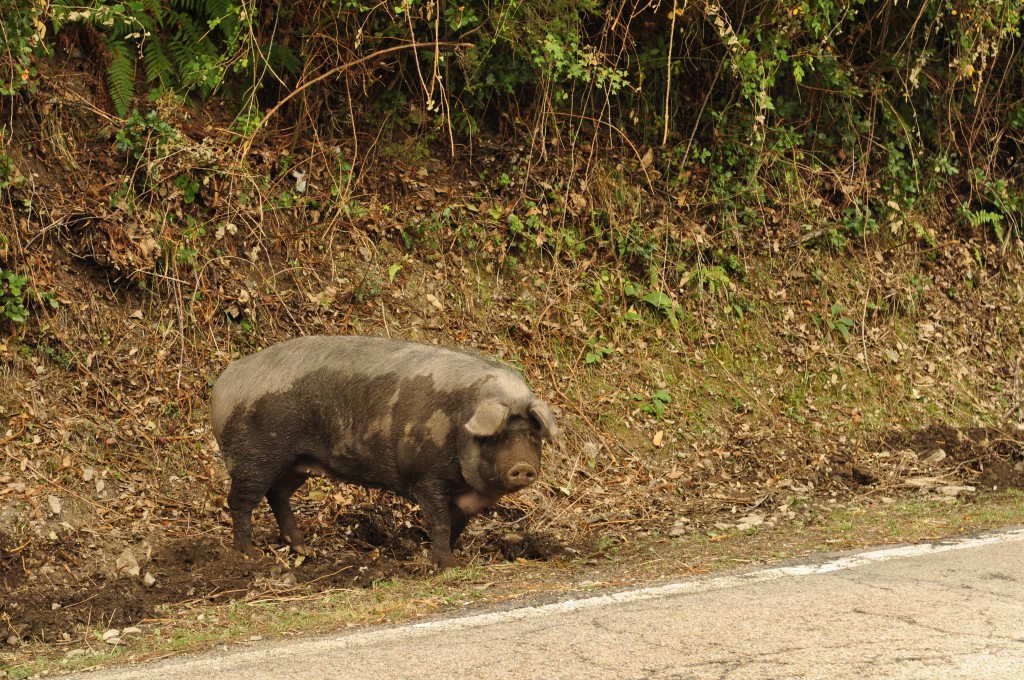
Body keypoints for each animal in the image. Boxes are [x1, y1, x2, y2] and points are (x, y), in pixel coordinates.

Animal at [209, 333, 561, 569]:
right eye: (495, 436)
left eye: (532, 435)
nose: (522, 467)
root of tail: (225, 383)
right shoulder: (427, 478)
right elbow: (440, 521)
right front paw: (448, 566)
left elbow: (456, 525)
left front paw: (451, 556)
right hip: (254, 459)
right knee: (240, 501)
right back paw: (250, 555)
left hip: (297, 463)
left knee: (277, 495)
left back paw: (303, 549)